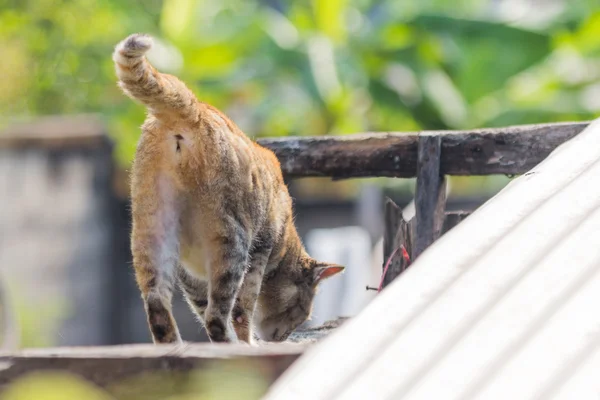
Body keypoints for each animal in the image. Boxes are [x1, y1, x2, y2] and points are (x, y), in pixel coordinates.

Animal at [112, 33, 344, 344]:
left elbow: (201, 305)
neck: (284, 242)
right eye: (301, 312)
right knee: (217, 317)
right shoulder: (259, 251)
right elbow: (241, 311)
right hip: (232, 241)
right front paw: (248, 342)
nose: (283, 337)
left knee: (159, 310)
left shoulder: (190, 276)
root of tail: (195, 110)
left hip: (150, 234)